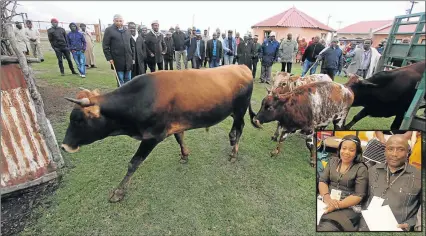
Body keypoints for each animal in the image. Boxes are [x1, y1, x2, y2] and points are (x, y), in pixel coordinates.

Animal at [60, 65, 260, 203]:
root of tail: (242, 67)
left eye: (78, 120)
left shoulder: (152, 137)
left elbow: (133, 163)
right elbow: (180, 138)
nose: (63, 145)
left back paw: (234, 152)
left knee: (239, 128)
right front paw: (184, 155)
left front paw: (119, 192)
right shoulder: (175, 125)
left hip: (240, 109)